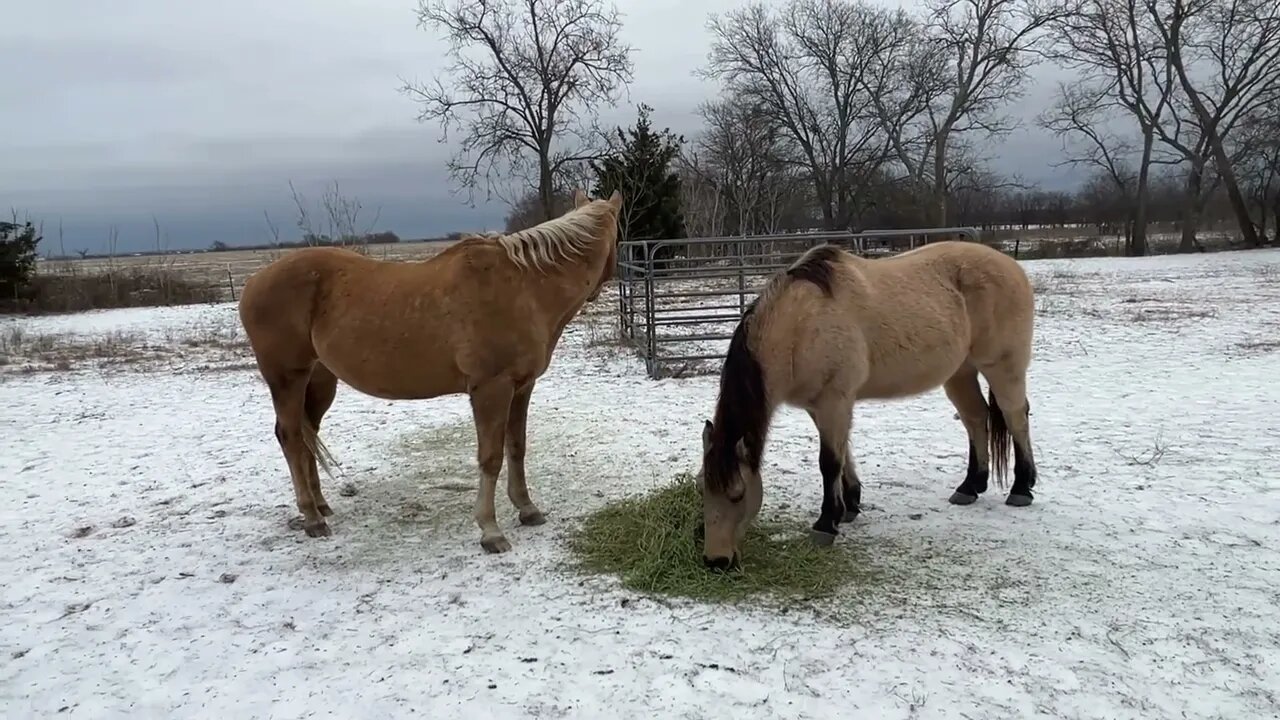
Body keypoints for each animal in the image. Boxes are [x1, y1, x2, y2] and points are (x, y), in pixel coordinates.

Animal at [239, 188, 624, 550]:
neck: (523, 287)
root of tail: (253, 282)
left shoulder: (522, 386)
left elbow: (517, 448)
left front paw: (527, 509)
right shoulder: (491, 388)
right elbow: (490, 457)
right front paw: (490, 530)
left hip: (319, 381)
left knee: (308, 437)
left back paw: (321, 506)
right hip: (286, 377)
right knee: (290, 437)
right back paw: (312, 518)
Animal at [701, 242, 1039, 571]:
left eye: (738, 495)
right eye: (704, 489)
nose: (716, 561)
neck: (802, 324)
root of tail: (1012, 266)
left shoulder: (834, 400)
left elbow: (829, 462)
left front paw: (826, 523)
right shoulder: (820, 405)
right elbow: (842, 453)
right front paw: (849, 505)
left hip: (1002, 368)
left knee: (1015, 417)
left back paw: (1021, 488)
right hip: (960, 372)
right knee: (975, 417)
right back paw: (970, 486)